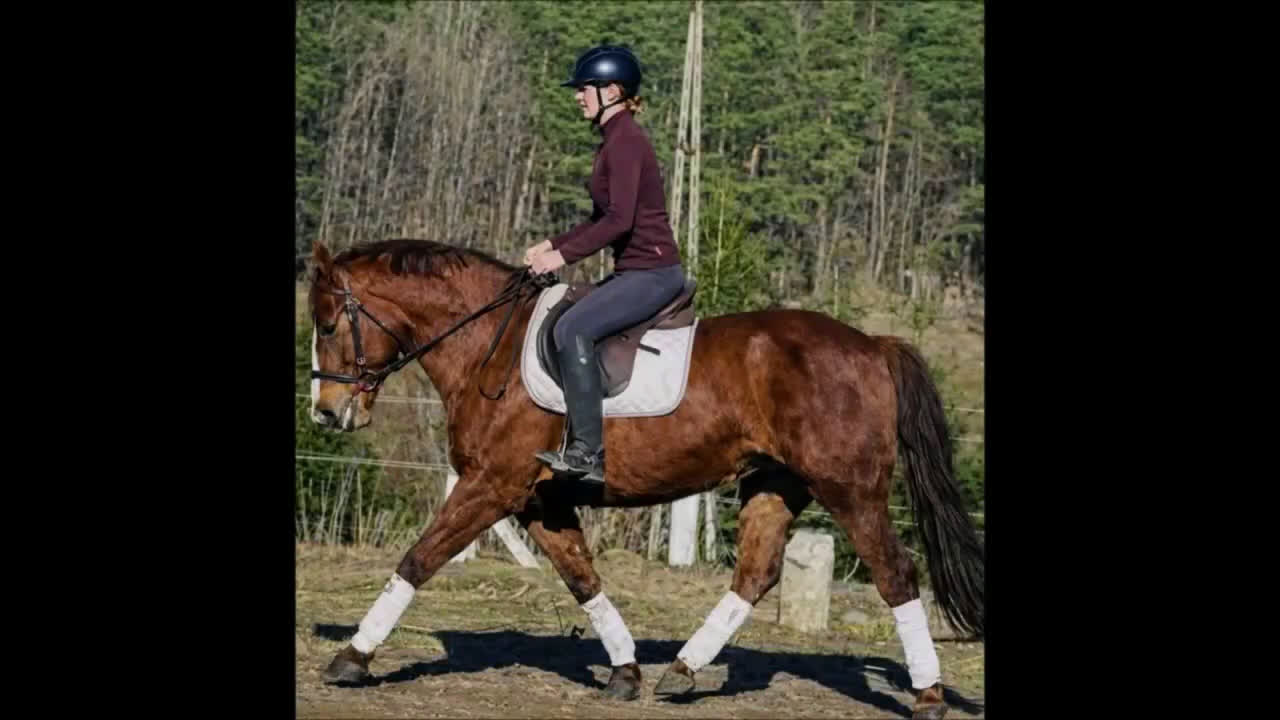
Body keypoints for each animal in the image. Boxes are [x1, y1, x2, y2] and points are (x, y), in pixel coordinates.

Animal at [305, 238, 984, 720]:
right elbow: (582, 578)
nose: (327, 413)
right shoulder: (536, 499)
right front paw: (625, 672)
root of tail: (872, 344)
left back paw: (928, 696)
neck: (486, 347)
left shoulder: (491, 486)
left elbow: (417, 560)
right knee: (755, 573)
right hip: (776, 482)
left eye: (330, 324)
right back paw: (680, 672)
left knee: (896, 575)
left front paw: (351, 658)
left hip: (850, 489)